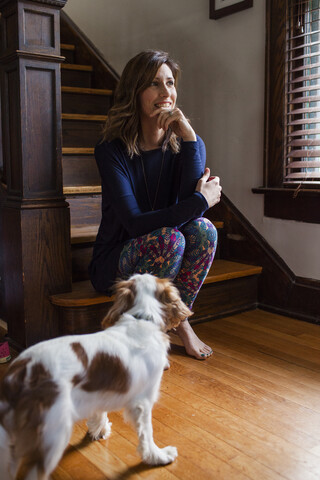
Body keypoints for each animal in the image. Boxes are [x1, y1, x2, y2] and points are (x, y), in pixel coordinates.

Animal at [0, 274, 191, 480]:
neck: (141, 317)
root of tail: (19, 371)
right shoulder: (143, 401)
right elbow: (147, 433)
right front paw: (157, 456)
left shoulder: (98, 391)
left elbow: (100, 411)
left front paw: (99, 430)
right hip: (53, 432)